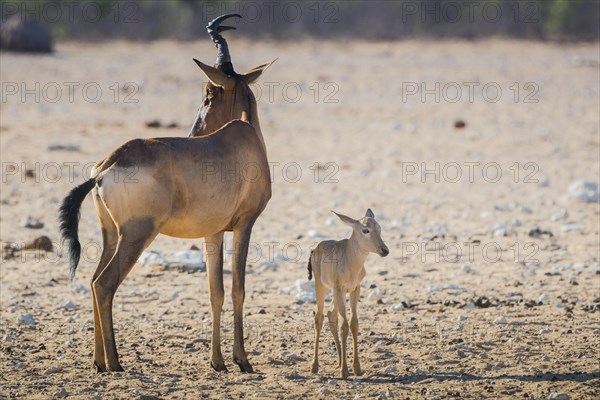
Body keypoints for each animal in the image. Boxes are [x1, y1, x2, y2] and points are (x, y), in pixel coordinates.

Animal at [310, 209, 390, 378]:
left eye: (379, 228)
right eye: (365, 230)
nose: (384, 250)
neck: (350, 260)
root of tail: (316, 249)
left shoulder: (354, 289)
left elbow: (353, 323)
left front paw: (356, 368)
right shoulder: (340, 290)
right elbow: (344, 326)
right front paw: (345, 370)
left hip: (335, 294)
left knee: (330, 314)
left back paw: (340, 361)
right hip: (322, 287)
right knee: (319, 317)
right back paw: (315, 366)